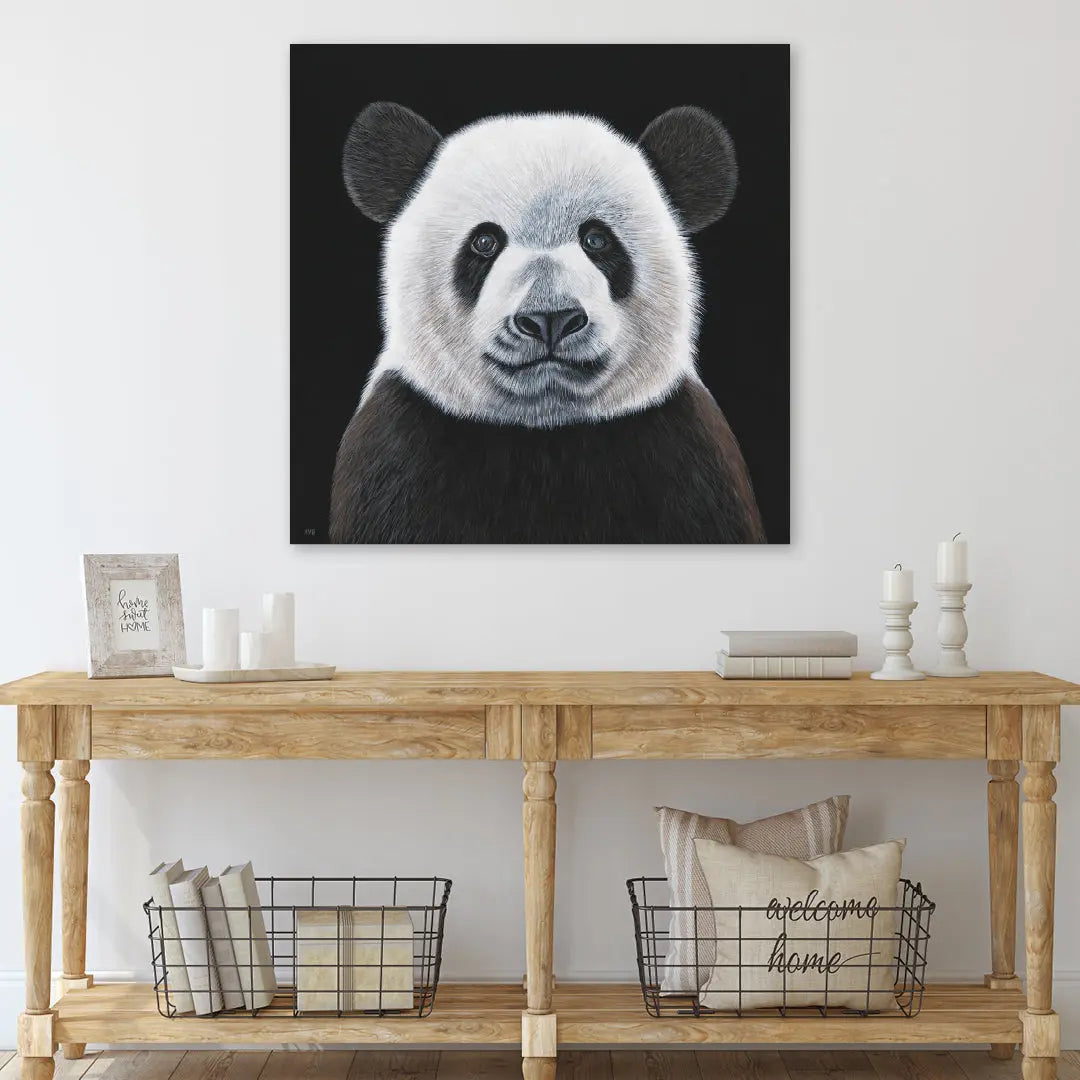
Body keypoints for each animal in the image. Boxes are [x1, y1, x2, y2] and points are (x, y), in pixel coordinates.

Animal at [329, 101, 766, 544]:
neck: (544, 427)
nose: (550, 319)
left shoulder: (688, 455)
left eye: (597, 240)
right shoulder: (396, 451)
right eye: (484, 242)